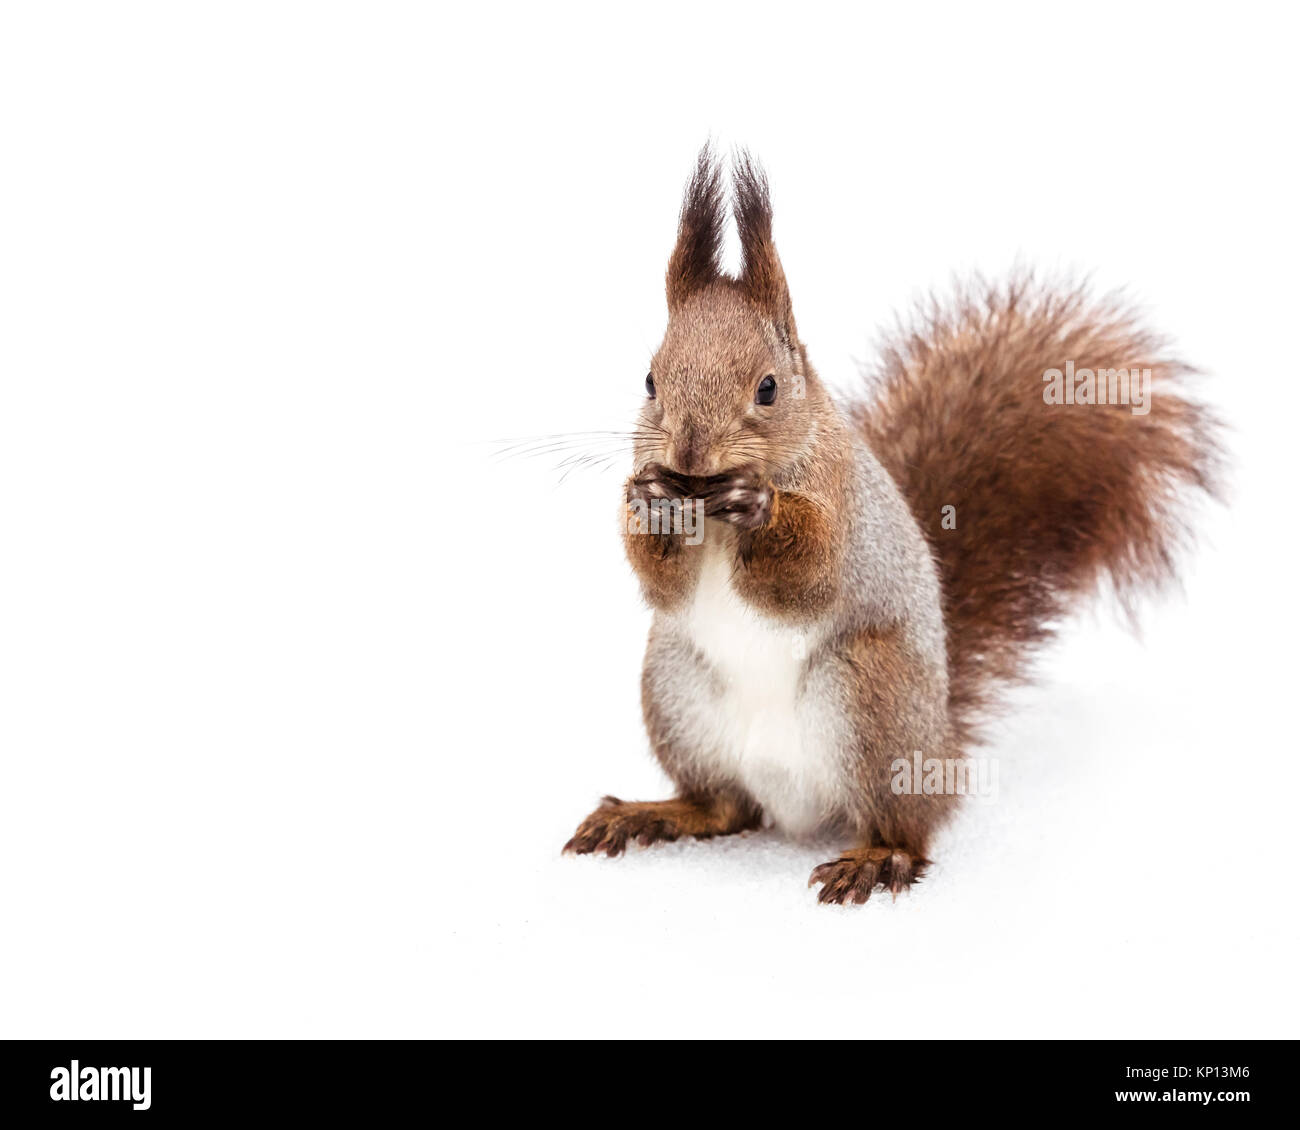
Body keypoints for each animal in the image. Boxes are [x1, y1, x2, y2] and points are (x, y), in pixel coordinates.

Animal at [563, 146, 1222, 904]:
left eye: (769, 388)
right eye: (649, 381)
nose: (690, 456)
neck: (712, 506)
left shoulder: (844, 503)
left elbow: (812, 575)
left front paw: (760, 505)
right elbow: (662, 586)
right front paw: (647, 497)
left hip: (870, 698)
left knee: (903, 823)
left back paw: (878, 858)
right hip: (676, 690)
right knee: (724, 807)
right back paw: (652, 814)